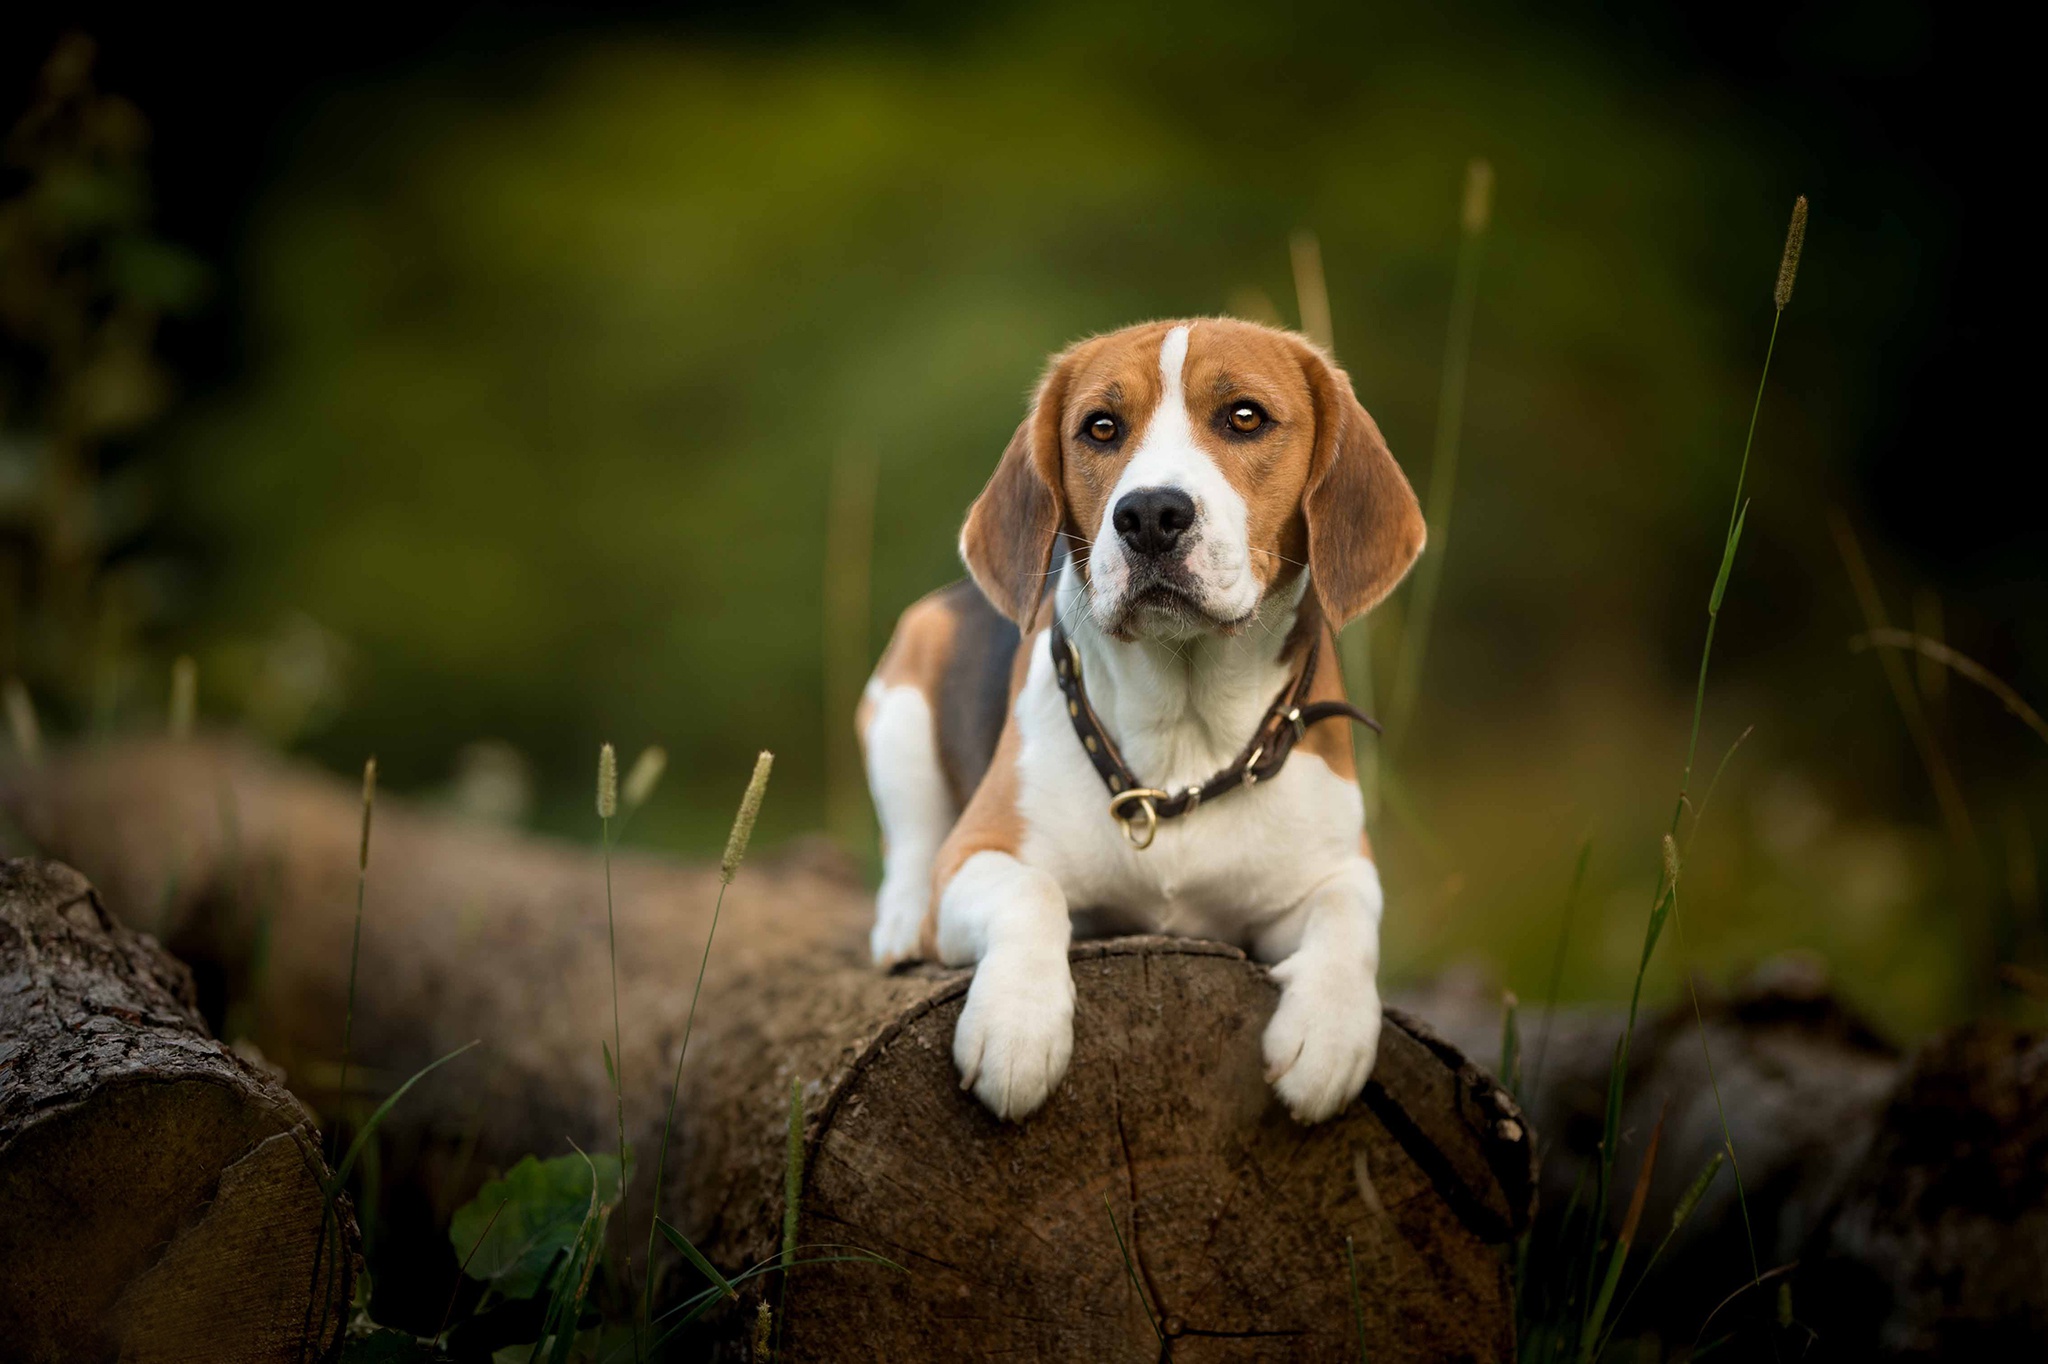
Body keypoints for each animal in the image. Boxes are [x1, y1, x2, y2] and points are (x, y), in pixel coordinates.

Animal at [851, 315, 1425, 1114]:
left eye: (1245, 416)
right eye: (1100, 427)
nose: (1150, 514)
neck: (1185, 732)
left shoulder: (1337, 865)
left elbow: (1351, 919)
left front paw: (1330, 1033)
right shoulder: (978, 853)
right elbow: (1032, 889)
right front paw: (1016, 1024)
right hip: (901, 697)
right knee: (909, 838)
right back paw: (903, 922)